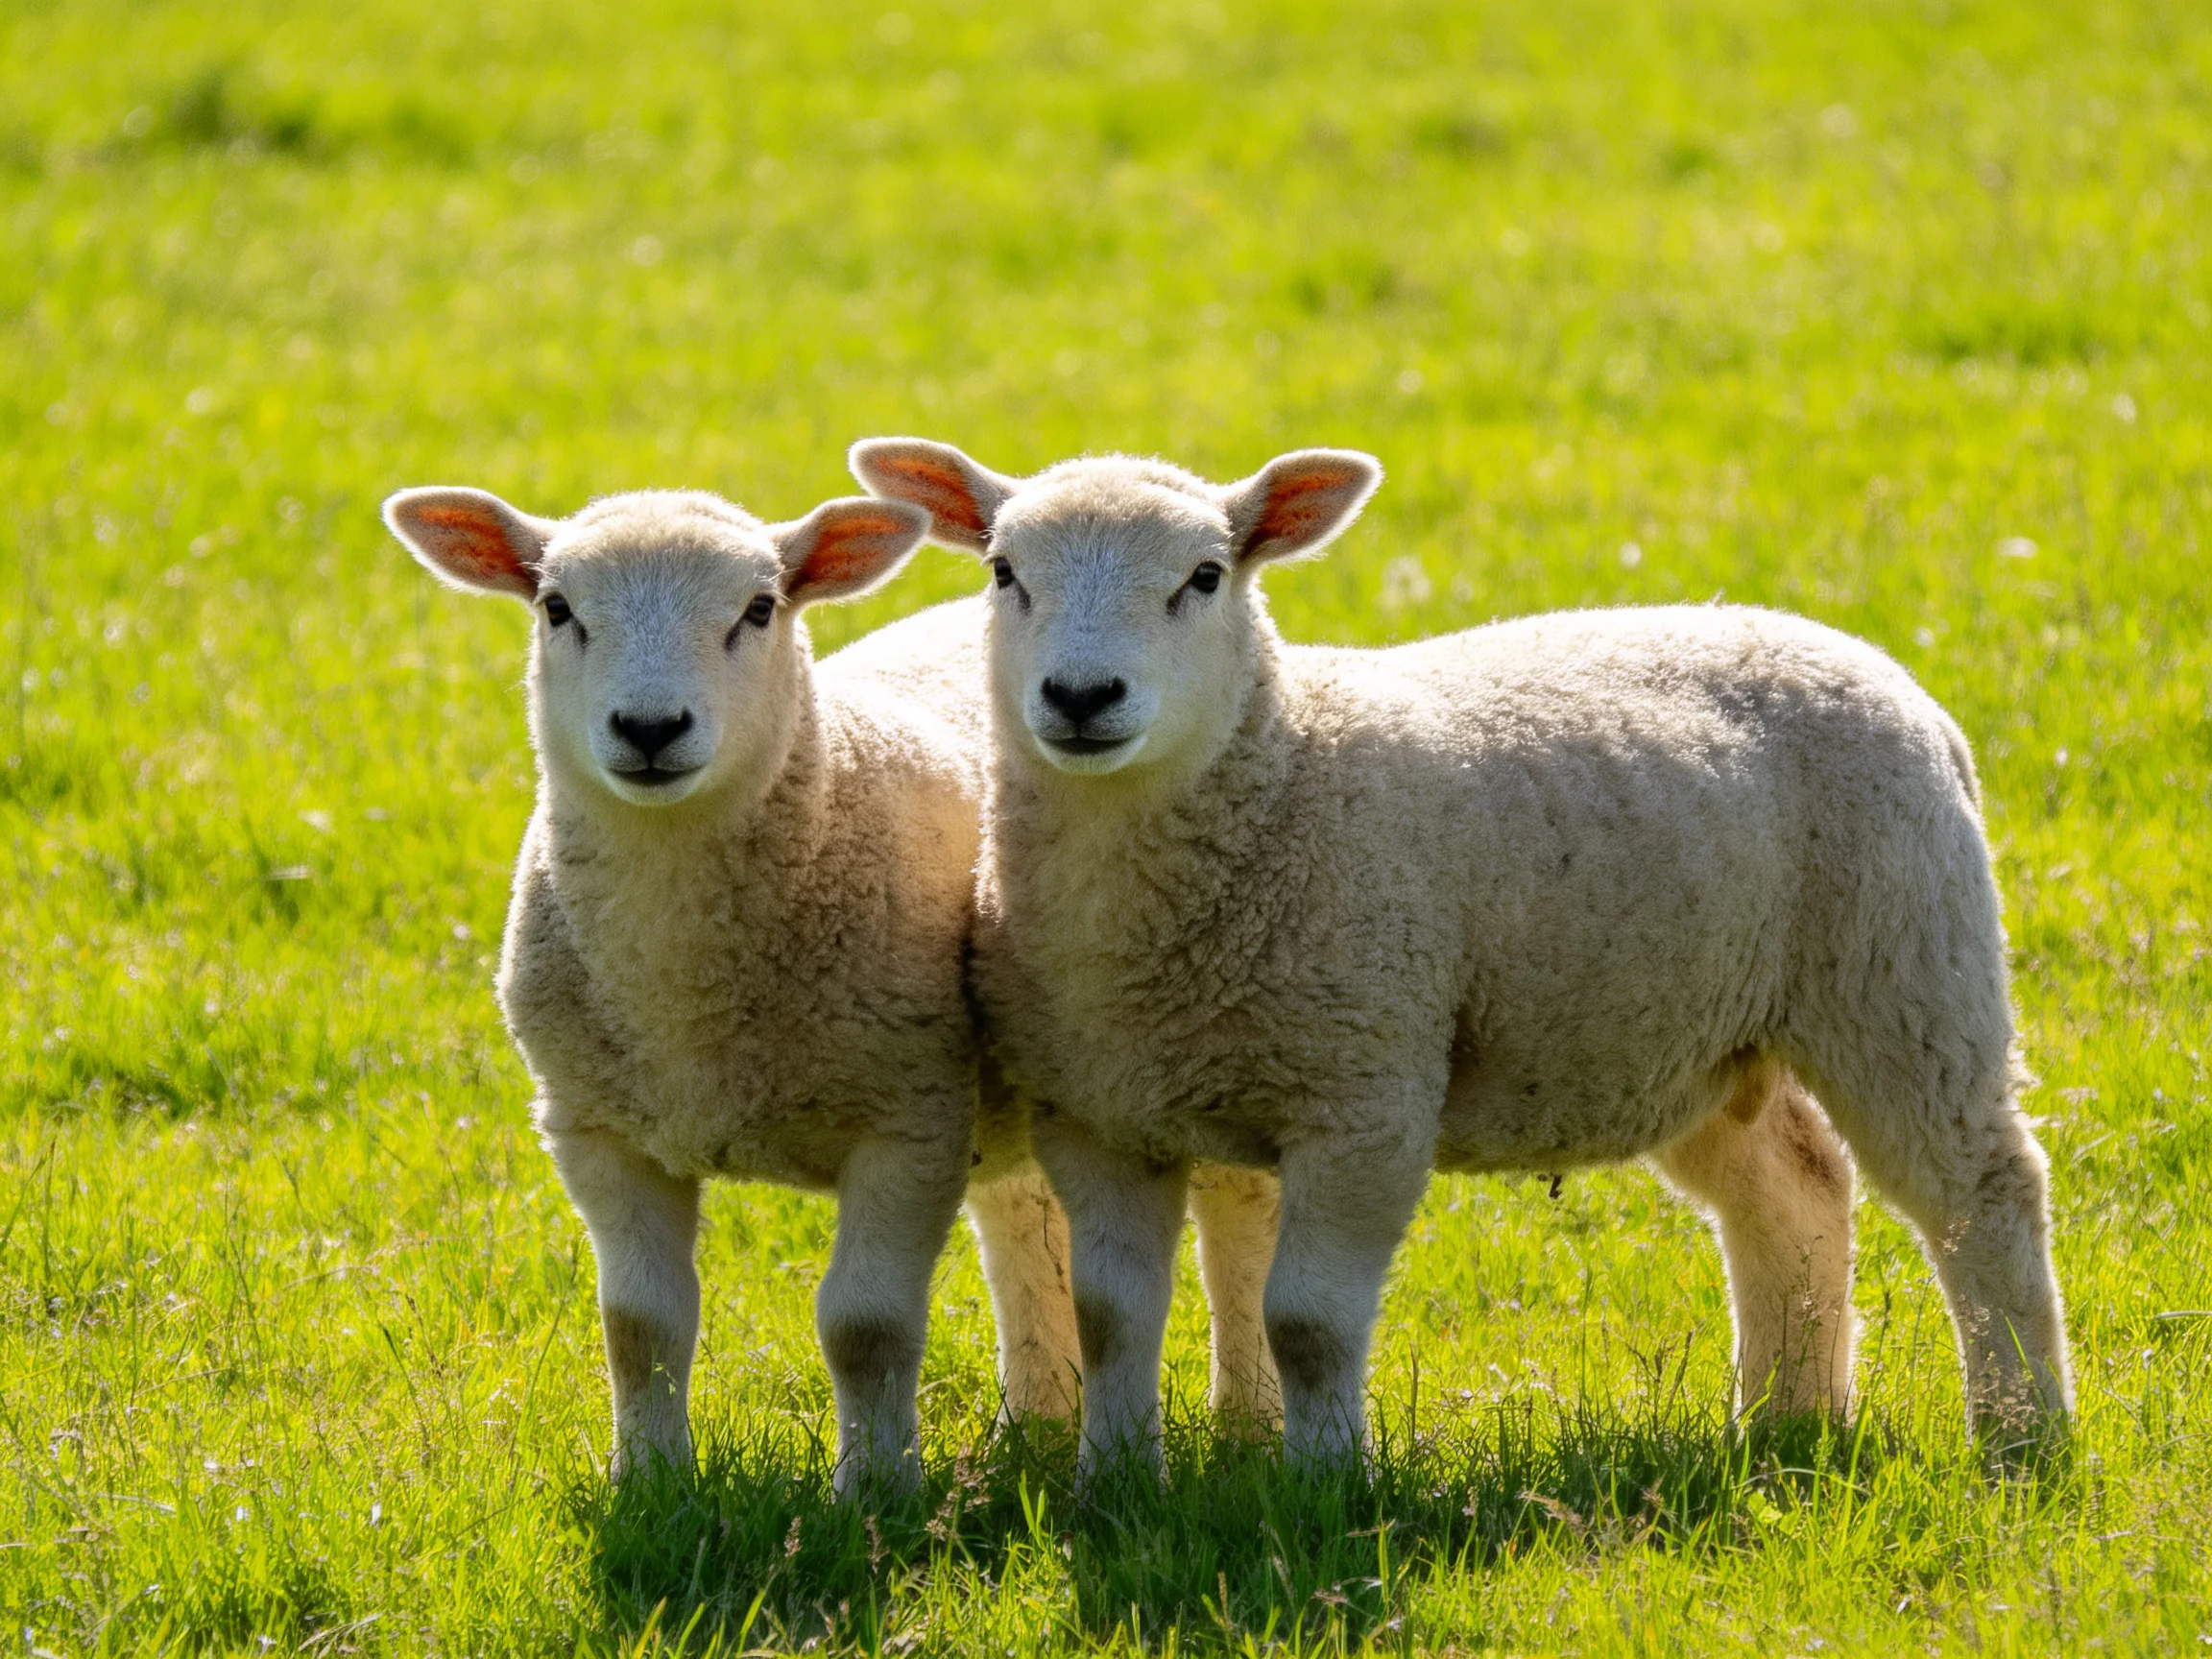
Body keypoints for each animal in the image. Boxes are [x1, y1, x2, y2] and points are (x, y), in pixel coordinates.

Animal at [850, 436, 2075, 1479]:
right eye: (1004, 571)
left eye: (1204, 576)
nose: (1081, 696)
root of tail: (1886, 674)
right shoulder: (1099, 1113)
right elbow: (1109, 1318)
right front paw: (1113, 1485)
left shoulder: (1367, 1091)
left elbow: (1306, 1323)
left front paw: (1324, 1487)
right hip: (1693, 1032)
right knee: (1795, 1183)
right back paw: (1789, 1421)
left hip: (1905, 969)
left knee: (1983, 1194)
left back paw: (2023, 1438)